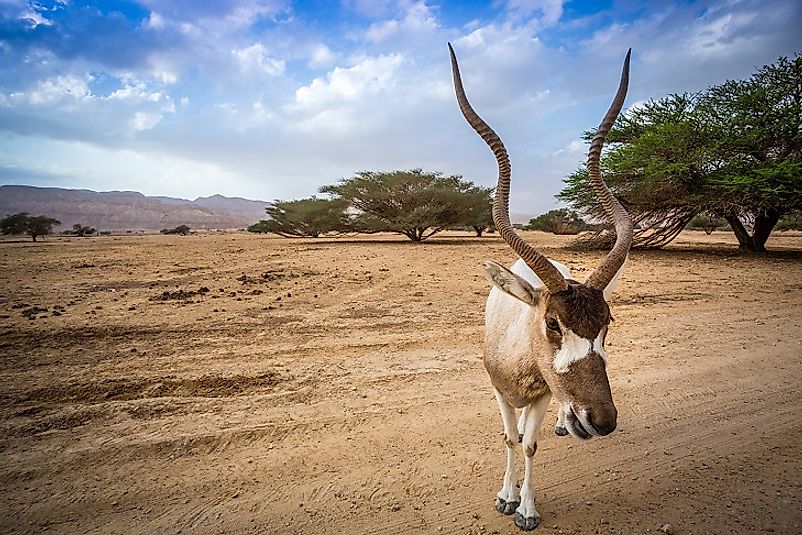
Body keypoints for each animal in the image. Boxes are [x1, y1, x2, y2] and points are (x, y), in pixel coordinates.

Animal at [450, 43, 632, 532]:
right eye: (552, 323)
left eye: (607, 323)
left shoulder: (543, 395)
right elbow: (509, 440)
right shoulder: (500, 393)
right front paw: (504, 497)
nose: (601, 420)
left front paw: (526, 509)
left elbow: (529, 445)